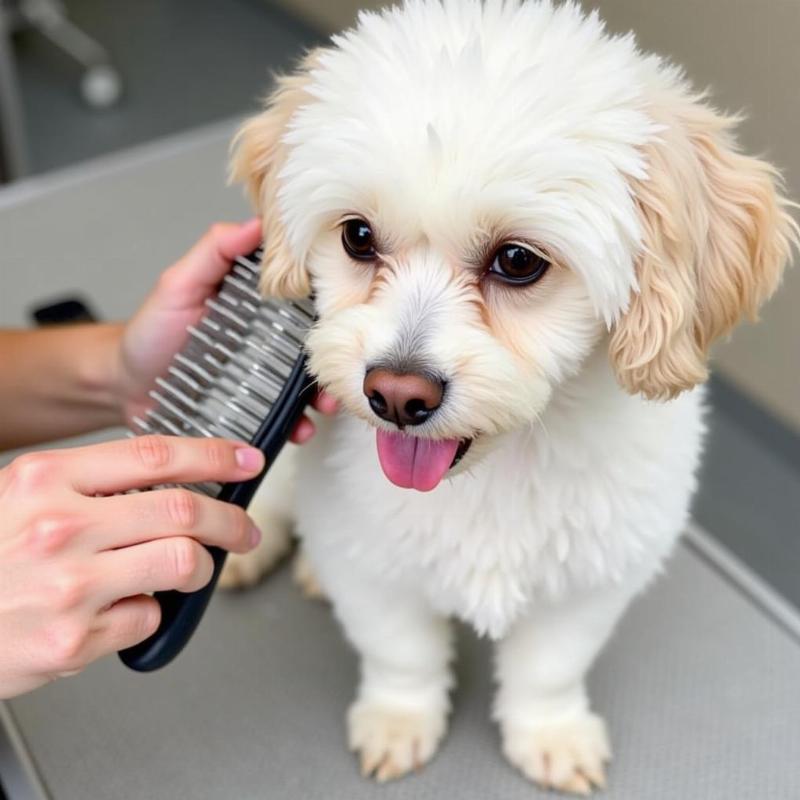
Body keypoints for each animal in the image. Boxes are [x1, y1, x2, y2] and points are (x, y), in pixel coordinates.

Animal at [217, 1, 792, 792]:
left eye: (518, 261)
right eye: (357, 236)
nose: (396, 394)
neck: (494, 473)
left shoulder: (592, 577)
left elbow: (549, 669)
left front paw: (549, 734)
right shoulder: (369, 562)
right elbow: (400, 653)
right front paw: (400, 719)